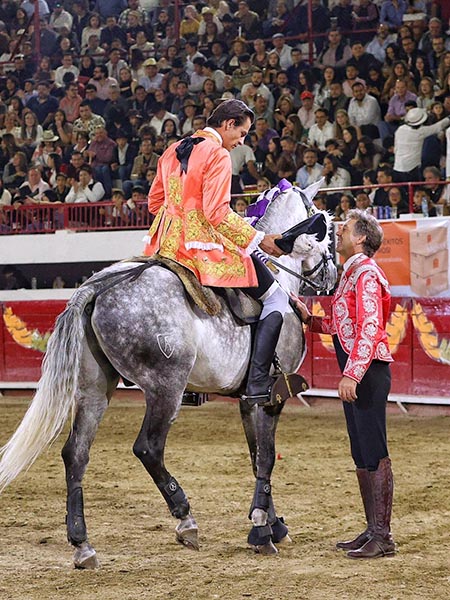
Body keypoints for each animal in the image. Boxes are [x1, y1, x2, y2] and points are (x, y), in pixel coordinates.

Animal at [0, 178, 336, 568]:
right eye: (327, 230)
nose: (331, 275)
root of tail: (97, 286)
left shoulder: (247, 401)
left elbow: (256, 458)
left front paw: (272, 523)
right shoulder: (270, 399)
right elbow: (266, 457)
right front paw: (263, 529)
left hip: (94, 390)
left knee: (75, 454)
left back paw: (82, 544)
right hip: (166, 388)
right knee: (148, 448)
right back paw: (185, 518)